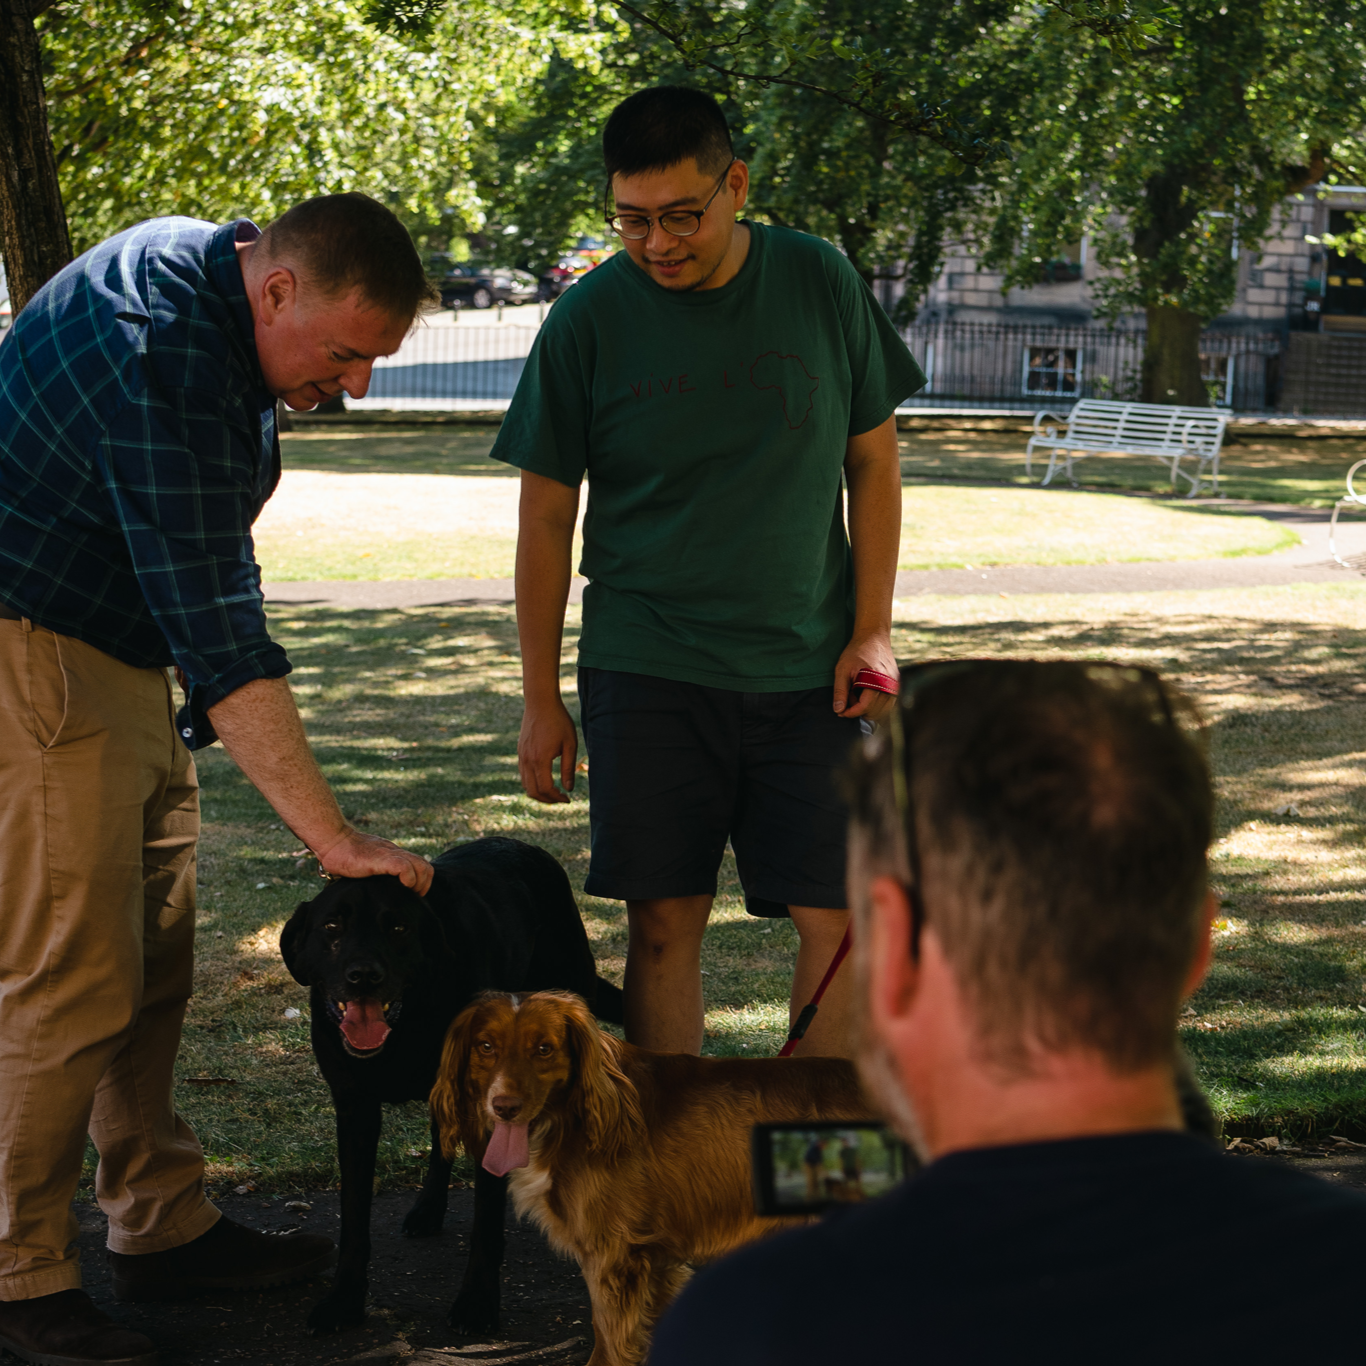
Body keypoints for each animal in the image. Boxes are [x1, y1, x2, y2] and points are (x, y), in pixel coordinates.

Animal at [280, 830, 622, 1333]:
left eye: (398, 928)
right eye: (331, 927)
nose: (363, 976)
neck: (407, 1024)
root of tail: (515, 841)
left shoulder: (491, 1107)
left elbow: (486, 1222)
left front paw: (477, 1302)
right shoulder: (355, 1110)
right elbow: (354, 1217)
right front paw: (344, 1299)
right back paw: (428, 1208)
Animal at [431, 994, 868, 1366]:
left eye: (544, 1049)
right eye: (486, 1046)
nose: (503, 1107)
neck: (575, 1116)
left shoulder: (614, 1255)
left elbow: (607, 1340)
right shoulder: (655, 1261)